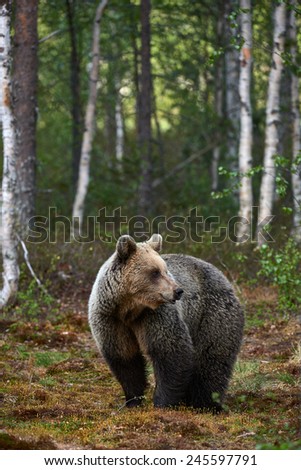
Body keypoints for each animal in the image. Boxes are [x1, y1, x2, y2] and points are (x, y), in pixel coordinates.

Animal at [88, 235, 243, 412]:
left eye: (165, 269)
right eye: (155, 272)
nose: (178, 291)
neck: (129, 308)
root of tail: (224, 277)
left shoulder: (156, 316)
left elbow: (170, 353)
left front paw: (162, 403)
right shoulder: (110, 320)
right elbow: (125, 358)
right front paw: (133, 401)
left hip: (213, 314)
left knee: (211, 359)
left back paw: (205, 404)